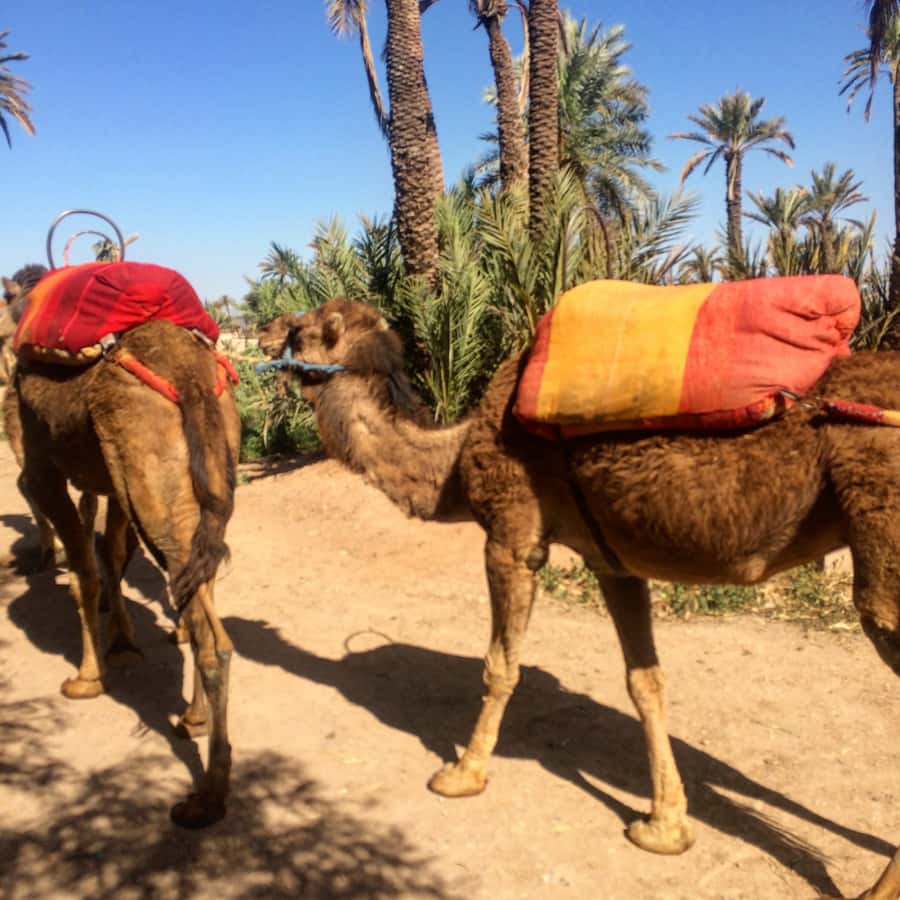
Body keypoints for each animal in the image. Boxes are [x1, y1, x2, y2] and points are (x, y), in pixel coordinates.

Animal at [6, 265, 241, 828]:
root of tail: (190, 376)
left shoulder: (42, 466)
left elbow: (86, 571)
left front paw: (87, 677)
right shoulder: (109, 482)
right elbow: (110, 556)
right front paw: (123, 642)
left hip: (148, 482)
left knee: (211, 636)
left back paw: (206, 798)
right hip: (198, 477)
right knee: (202, 587)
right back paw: (192, 719)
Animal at [259, 297, 900, 899]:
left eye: (304, 327)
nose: (263, 331)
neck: (454, 461)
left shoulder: (511, 534)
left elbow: (500, 665)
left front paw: (462, 772)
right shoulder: (611, 560)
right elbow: (645, 682)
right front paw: (664, 827)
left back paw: (875, 888)